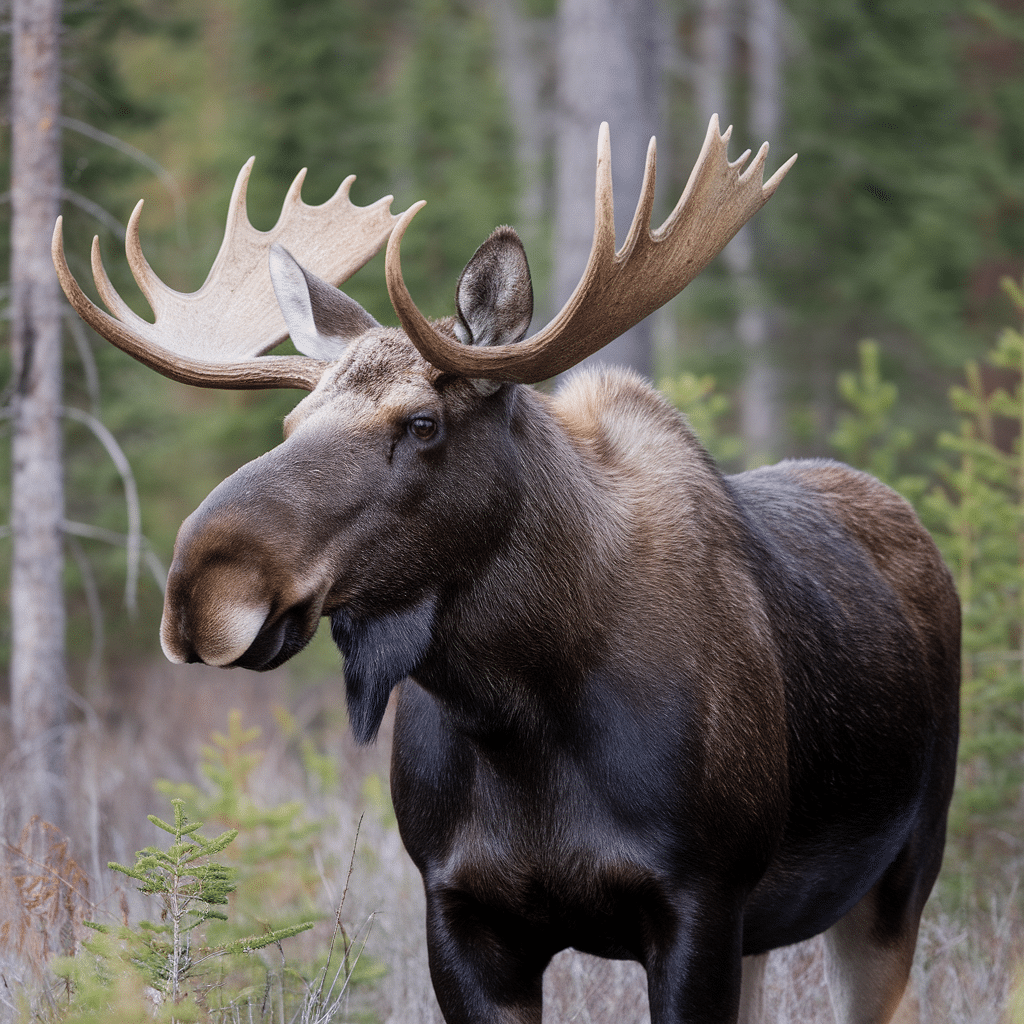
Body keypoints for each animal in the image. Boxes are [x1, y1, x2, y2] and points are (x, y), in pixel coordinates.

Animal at [53, 115, 960, 1024]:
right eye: (291, 420)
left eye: (421, 423)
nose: (199, 588)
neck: (520, 720)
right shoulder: (462, 910)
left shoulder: (702, 900)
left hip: (899, 878)